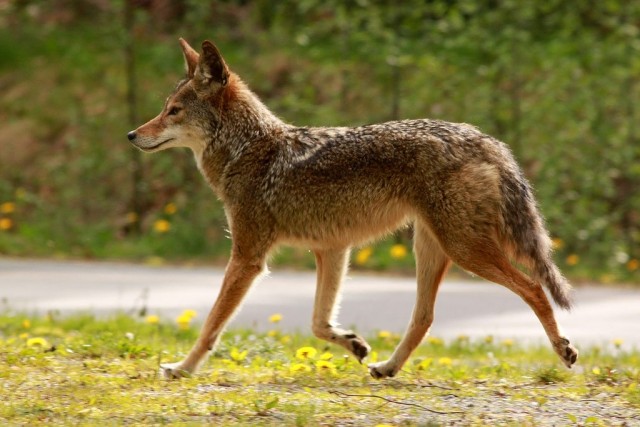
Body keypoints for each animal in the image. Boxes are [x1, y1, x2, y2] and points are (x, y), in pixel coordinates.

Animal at [127, 38, 578, 379]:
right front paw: (354, 344)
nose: (131, 134)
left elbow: (210, 326)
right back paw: (388, 367)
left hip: (465, 250)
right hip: (433, 249)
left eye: (173, 111)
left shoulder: (248, 258)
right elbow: (318, 323)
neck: (251, 150)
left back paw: (563, 350)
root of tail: (487, 140)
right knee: (424, 318)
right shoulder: (332, 250)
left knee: (534, 289)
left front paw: (182, 368)